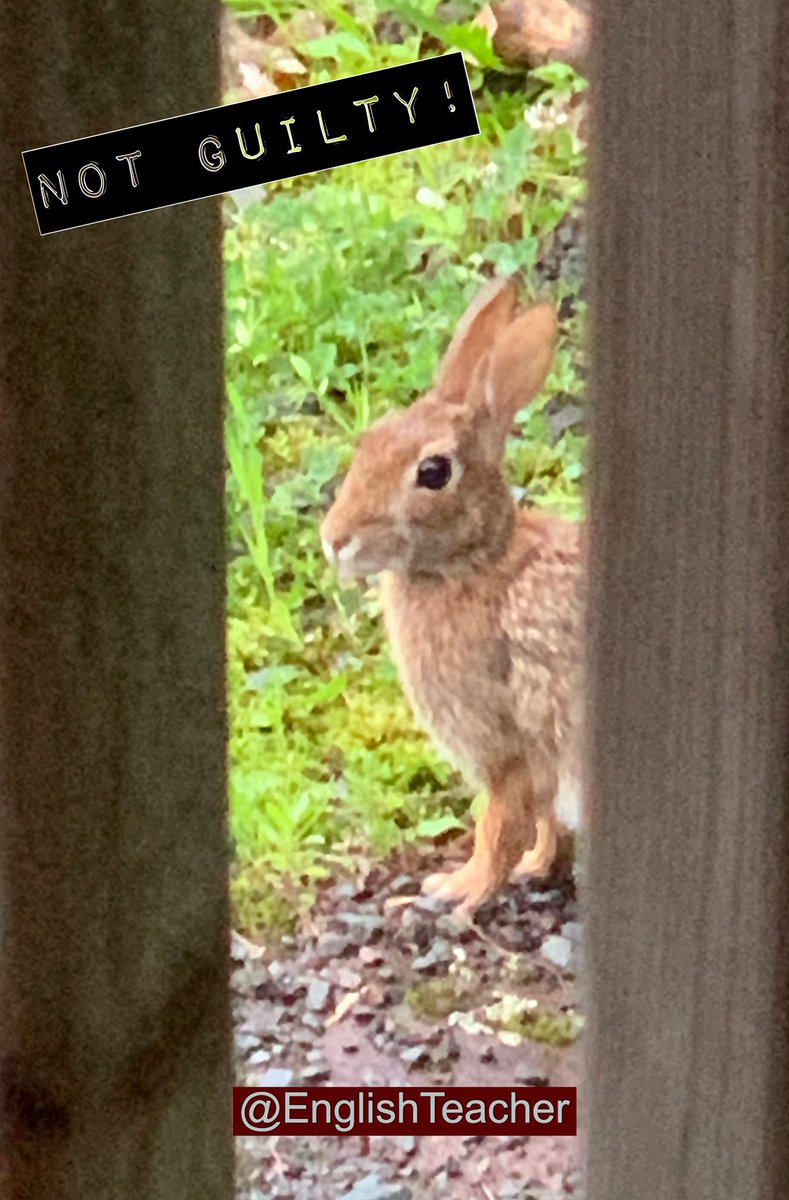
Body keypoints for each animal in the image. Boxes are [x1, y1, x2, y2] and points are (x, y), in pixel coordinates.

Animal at [321, 275, 584, 915]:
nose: (334, 540)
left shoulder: (509, 746)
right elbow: (542, 826)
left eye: (434, 472)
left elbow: (500, 825)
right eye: (371, 439)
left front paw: (458, 890)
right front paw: (536, 869)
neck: (472, 562)